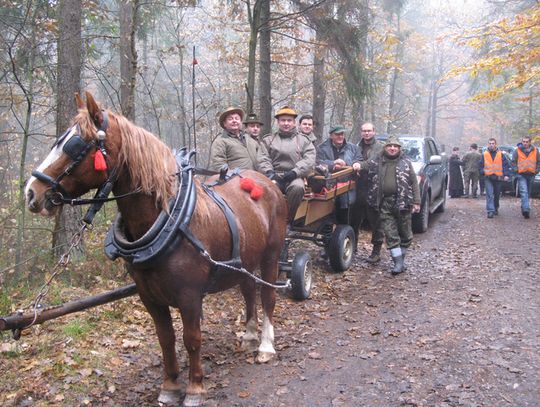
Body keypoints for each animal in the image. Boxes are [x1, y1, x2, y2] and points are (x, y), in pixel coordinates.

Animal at [24, 93, 288, 407]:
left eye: (75, 145)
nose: (31, 192)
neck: (170, 219)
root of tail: (265, 180)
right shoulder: (149, 297)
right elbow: (166, 339)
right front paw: (170, 386)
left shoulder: (189, 296)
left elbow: (192, 339)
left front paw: (195, 389)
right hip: (245, 259)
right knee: (248, 291)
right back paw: (248, 337)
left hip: (271, 254)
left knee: (268, 296)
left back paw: (265, 346)